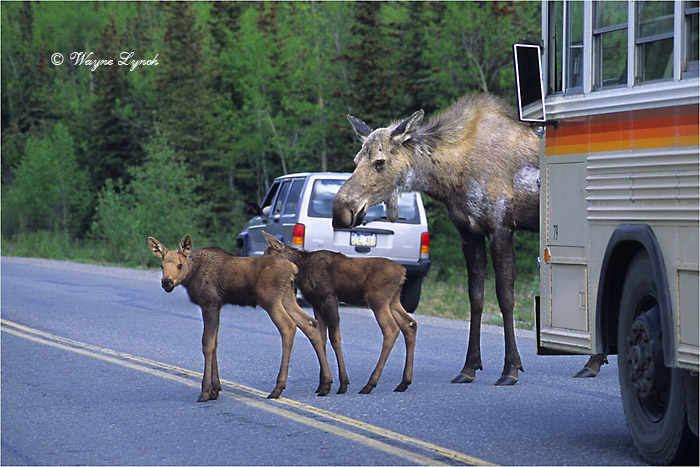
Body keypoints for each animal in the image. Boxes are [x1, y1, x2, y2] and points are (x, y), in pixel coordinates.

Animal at [148, 234, 333, 401]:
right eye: (161, 265)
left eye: (180, 265)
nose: (167, 282)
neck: (192, 275)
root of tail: (293, 268)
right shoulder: (217, 305)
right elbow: (215, 343)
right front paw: (216, 389)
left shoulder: (209, 303)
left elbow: (207, 344)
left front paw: (205, 391)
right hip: (287, 297)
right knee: (311, 324)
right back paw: (326, 384)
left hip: (270, 299)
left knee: (288, 326)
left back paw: (278, 388)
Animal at [262, 231, 417, 395]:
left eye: (269, 254)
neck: (302, 269)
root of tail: (403, 272)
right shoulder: (316, 303)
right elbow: (321, 337)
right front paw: (323, 384)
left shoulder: (329, 297)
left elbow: (334, 337)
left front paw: (341, 384)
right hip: (393, 300)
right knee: (410, 324)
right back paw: (403, 382)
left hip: (377, 298)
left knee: (391, 329)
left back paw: (370, 384)